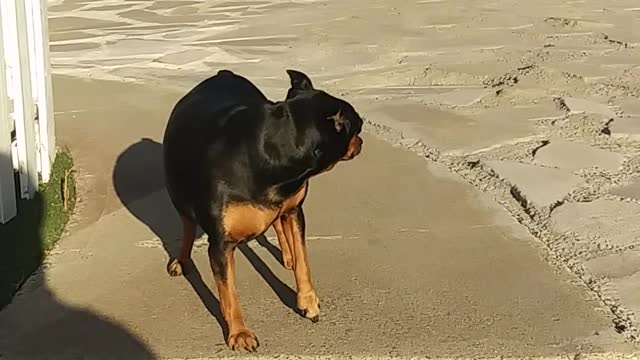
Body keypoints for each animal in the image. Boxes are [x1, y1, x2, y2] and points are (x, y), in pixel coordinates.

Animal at [162, 68, 362, 352]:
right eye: (357, 127)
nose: (361, 141)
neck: (271, 155)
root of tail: (223, 73)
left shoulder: (295, 209)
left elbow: (303, 259)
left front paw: (307, 301)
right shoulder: (220, 244)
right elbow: (229, 293)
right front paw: (239, 333)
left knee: (279, 223)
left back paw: (287, 254)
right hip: (178, 193)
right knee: (187, 224)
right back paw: (181, 260)